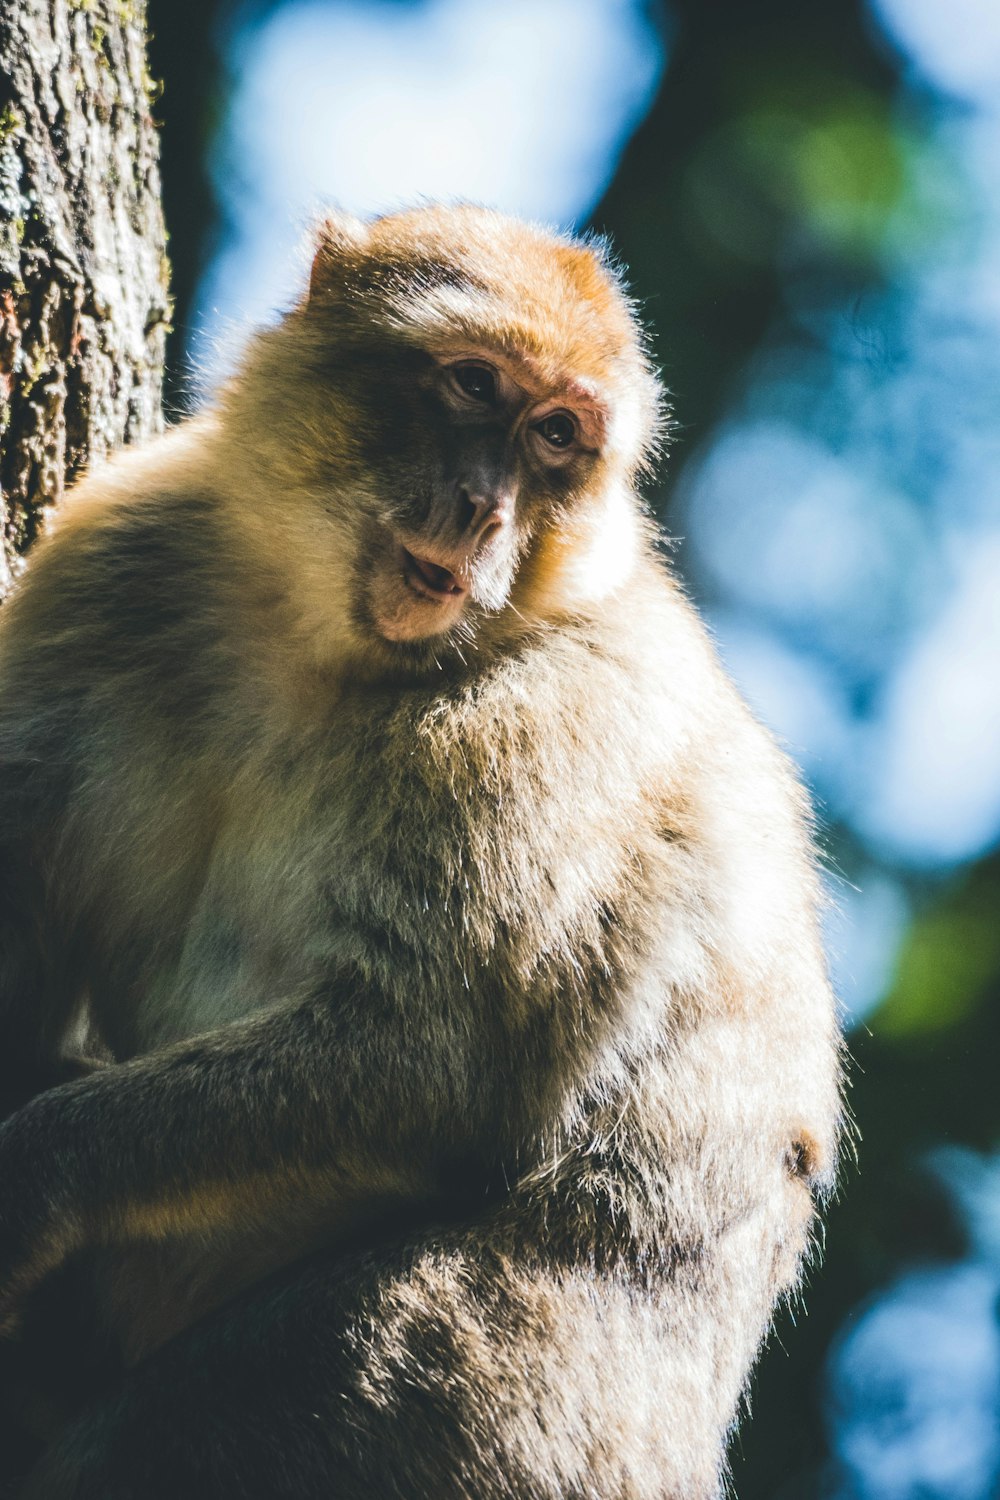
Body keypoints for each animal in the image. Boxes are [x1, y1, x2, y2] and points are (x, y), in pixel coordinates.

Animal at [0, 202, 845, 1500]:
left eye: (556, 437)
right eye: (472, 384)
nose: (485, 507)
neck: (313, 645)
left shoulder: (539, 727)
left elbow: (443, 1056)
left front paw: (35, 1173)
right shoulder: (113, 556)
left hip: (500, 1399)